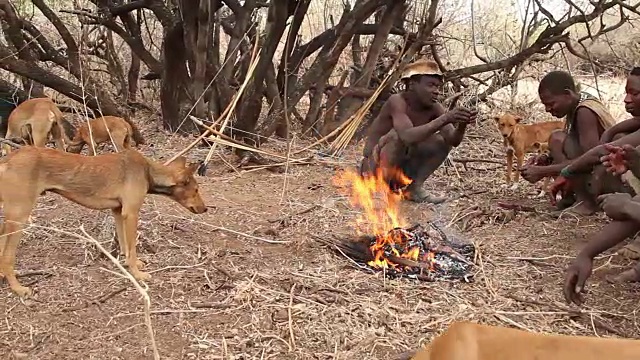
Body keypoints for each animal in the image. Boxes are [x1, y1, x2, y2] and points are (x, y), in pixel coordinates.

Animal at [0, 146, 208, 298]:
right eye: (196, 190)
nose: (205, 209)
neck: (147, 171)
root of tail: (7, 160)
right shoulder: (131, 213)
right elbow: (132, 248)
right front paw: (137, 274)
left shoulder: (118, 212)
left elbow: (125, 246)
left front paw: (130, 265)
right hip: (19, 216)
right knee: (8, 257)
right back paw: (18, 288)